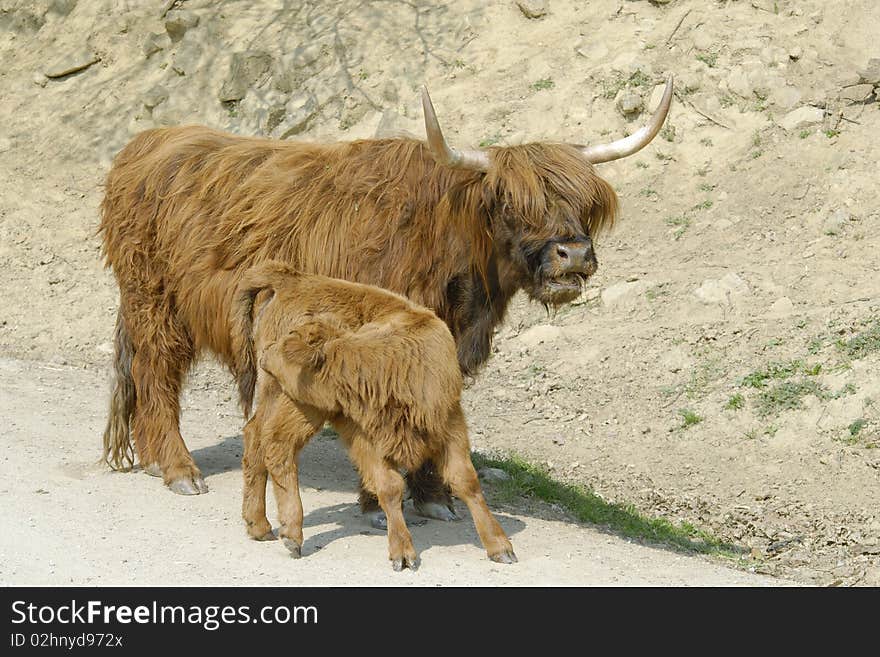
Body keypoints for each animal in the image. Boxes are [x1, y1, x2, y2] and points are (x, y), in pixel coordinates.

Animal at [98, 79, 672, 524]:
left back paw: (154, 459)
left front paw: (434, 499)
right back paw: (179, 469)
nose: (573, 253)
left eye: (583, 203)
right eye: (513, 204)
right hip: (153, 300)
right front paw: (377, 503)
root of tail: (148, 142)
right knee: (156, 372)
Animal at [234, 262, 516, 568]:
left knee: (257, 437)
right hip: (299, 405)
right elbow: (390, 486)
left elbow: (466, 481)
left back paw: (260, 526)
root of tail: (292, 280)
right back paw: (290, 534)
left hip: (285, 399)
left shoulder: (450, 424)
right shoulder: (365, 438)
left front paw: (500, 547)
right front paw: (402, 552)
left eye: (288, 349)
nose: (267, 355)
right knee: (277, 444)